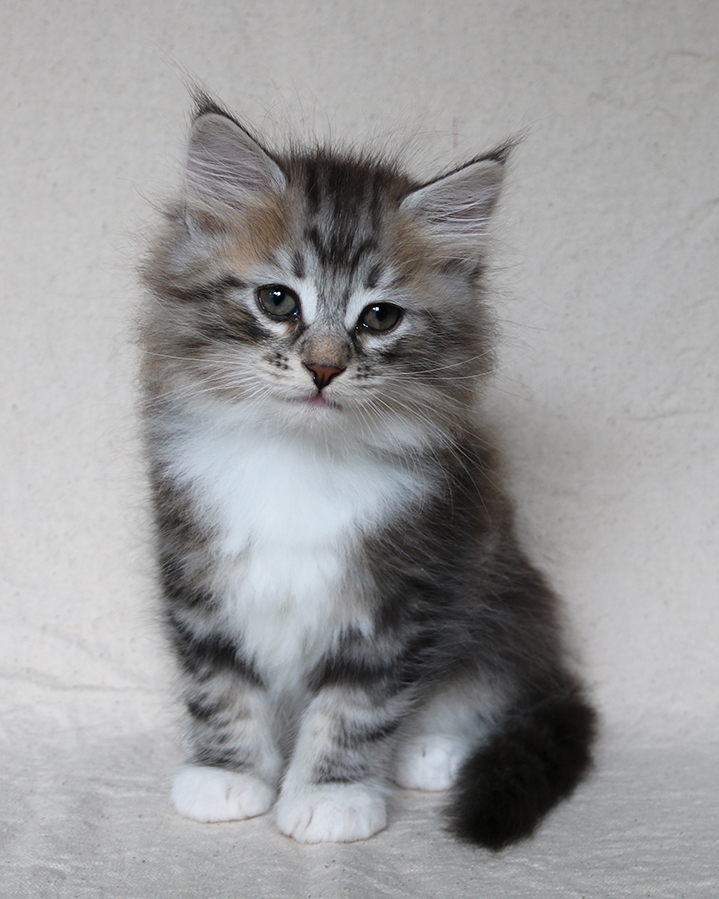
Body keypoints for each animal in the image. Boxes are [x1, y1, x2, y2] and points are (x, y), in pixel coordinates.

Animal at [141, 98, 596, 852]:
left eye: (379, 317)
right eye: (278, 301)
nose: (324, 367)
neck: (298, 457)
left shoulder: (405, 589)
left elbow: (356, 703)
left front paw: (331, 794)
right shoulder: (196, 567)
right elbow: (220, 681)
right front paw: (226, 774)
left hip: (504, 597)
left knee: (491, 682)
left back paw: (432, 749)